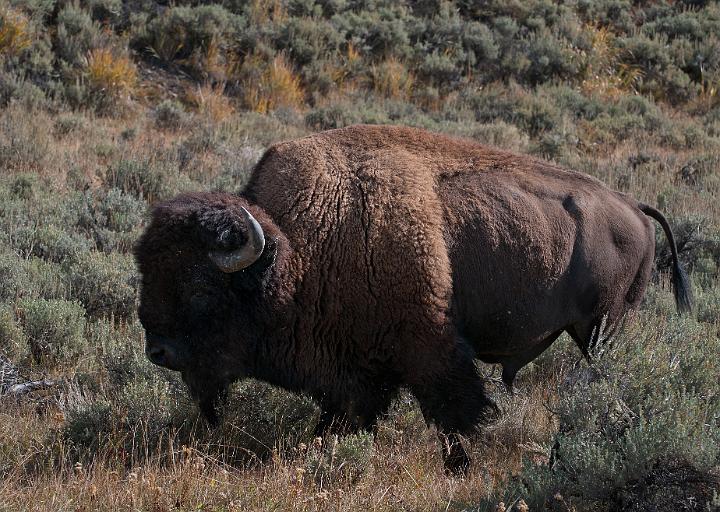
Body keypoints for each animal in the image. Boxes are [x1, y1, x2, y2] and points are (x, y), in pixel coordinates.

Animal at [134, 125, 692, 472]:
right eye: (146, 272)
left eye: (201, 287)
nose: (157, 351)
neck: (297, 248)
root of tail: (633, 206)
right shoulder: (357, 372)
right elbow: (344, 417)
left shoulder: (430, 349)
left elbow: (453, 414)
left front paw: (462, 466)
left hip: (601, 328)